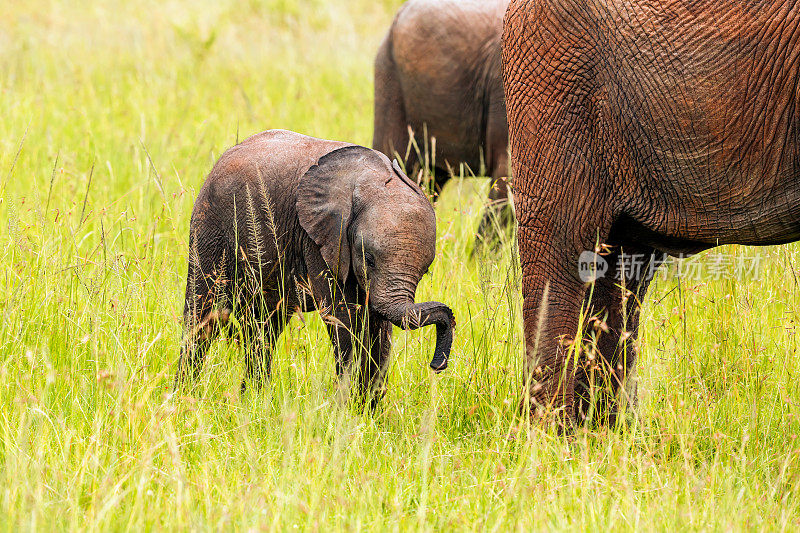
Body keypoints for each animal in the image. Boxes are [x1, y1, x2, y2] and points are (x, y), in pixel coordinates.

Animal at [177, 130, 454, 408]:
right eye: (369, 259)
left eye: (425, 271)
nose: (436, 365)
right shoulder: (321, 238)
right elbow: (343, 319)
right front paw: (344, 411)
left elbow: (378, 329)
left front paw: (367, 413)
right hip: (211, 226)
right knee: (203, 315)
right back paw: (184, 398)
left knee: (263, 327)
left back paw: (252, 402)